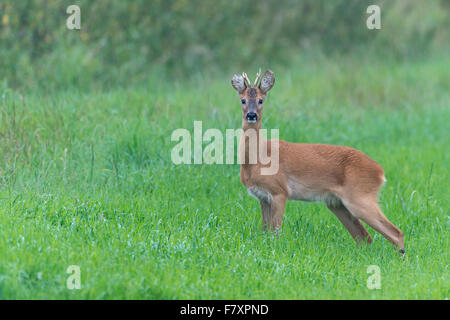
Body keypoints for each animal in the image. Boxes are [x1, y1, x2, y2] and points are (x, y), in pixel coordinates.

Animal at [232, 68, 404, 252]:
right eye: (243, 100)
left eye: (261, 100)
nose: (251, 115)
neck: (257, 160)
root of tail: (380, 172)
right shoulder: (262, 197)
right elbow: (265, 232)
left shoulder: (280, 191)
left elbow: (276, 232)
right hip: (336, 204)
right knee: (365, 237)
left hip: (360, 197)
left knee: (395, 233)